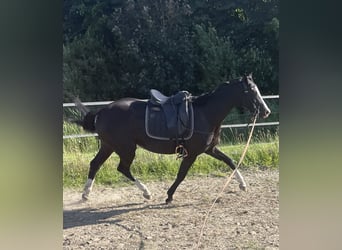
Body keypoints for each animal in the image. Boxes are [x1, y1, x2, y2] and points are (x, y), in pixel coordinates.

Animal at [71, 74, 270, 203]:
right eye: (252, 90)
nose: (266, 112)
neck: (205, 113)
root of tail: (102, 111)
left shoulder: (209, 149)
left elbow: (230, 161)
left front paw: (243, 185)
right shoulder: (192, 153)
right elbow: (182, 174)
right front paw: (169, 195)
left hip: (109, 146)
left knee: (95, 164)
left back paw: (86, 194)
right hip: (126, 148)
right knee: (122, 168)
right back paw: (146, 193)